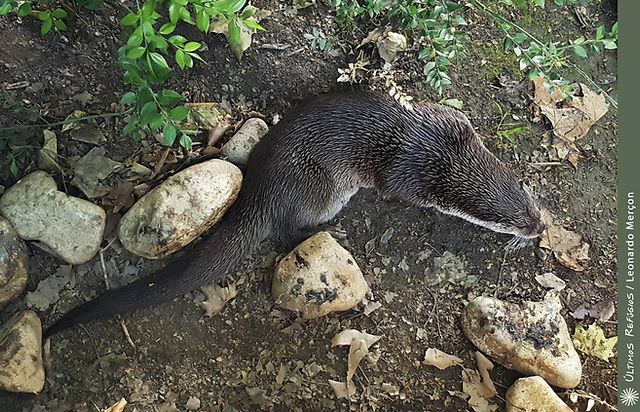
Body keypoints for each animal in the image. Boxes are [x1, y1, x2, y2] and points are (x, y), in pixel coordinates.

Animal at [46, 92, 544, 334]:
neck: (441, 155)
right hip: (321, 189)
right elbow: (401, 197)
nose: (539, 228)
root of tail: (260, 187)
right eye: (517, 222)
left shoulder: (449, 123)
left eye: (531, 202)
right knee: (287, 228)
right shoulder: (406, 179)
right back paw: (330, 233)